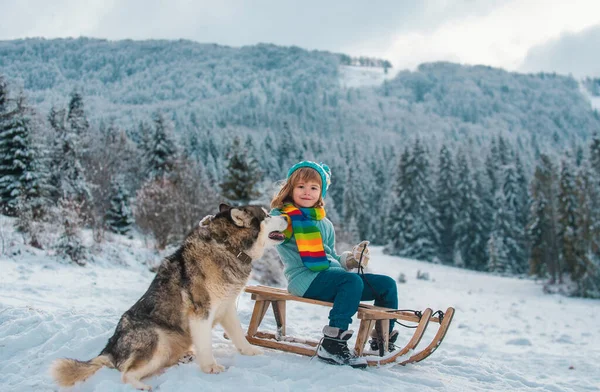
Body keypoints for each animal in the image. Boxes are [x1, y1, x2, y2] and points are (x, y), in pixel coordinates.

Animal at [50, 204, 288, 390]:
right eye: (267, 215)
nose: (286, 216)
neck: (228, 247)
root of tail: (109, 349)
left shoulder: (226, 307)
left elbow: (239, 335)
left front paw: (250, 351)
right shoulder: (201, 311)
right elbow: (206, 345)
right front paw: (210, 367)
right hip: (157, 341)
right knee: (126, 374)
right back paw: (143, 386)